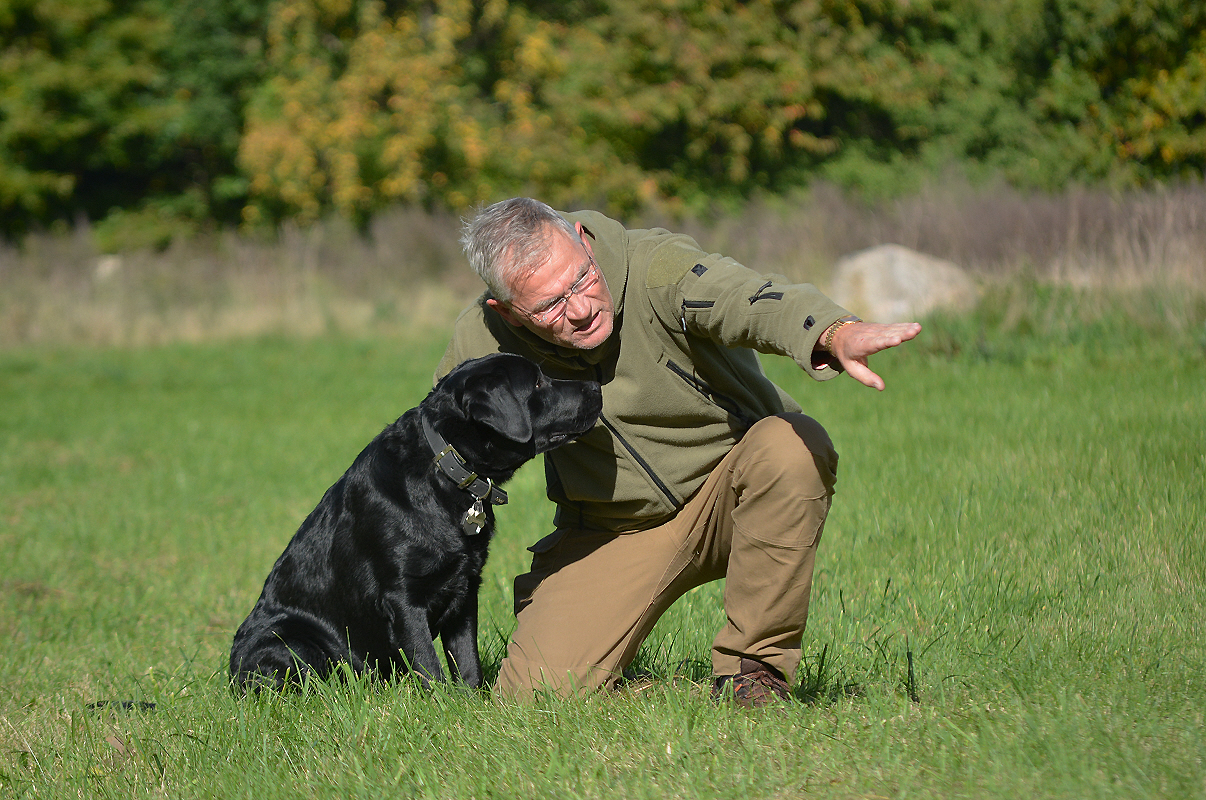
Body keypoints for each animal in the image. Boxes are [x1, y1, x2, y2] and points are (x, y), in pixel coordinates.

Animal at [226, 354, 603, 690]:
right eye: (538, 382)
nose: (596, 385)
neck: (447, 468)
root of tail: (230, 674)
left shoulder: (466, 589)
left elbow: (467, 662)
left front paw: (470, 702)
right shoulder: (402, 598)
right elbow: (428, 664)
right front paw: (442, 707)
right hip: (287, 639)